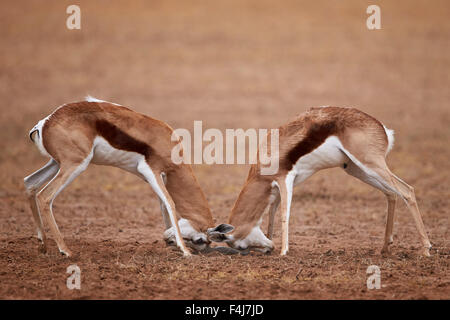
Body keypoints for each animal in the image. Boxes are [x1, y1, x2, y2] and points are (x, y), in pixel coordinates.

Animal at [23, 96, 232, 256]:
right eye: (200, 240)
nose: (168, 240)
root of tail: (45, 123)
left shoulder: (157, 178)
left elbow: (163, 206)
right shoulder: (151, 170)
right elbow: (171, 204)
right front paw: (186, 252)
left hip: (56, 163)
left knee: (30, 183)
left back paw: (43, 246)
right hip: (75, 165)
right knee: (45, 196)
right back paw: (65, 251)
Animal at [207, 107, 432, 258]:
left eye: (240, 246)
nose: (268, 249)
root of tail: (382, 129)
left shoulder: (284, 179)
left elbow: (284, 215)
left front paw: (284, 251)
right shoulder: (276, 189)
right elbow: (271, 215)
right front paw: (275, 242)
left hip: (370, 164)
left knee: (407, 191)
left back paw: (426, 249)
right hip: (357, 169)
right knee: (391, 193)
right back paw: (384, 248)